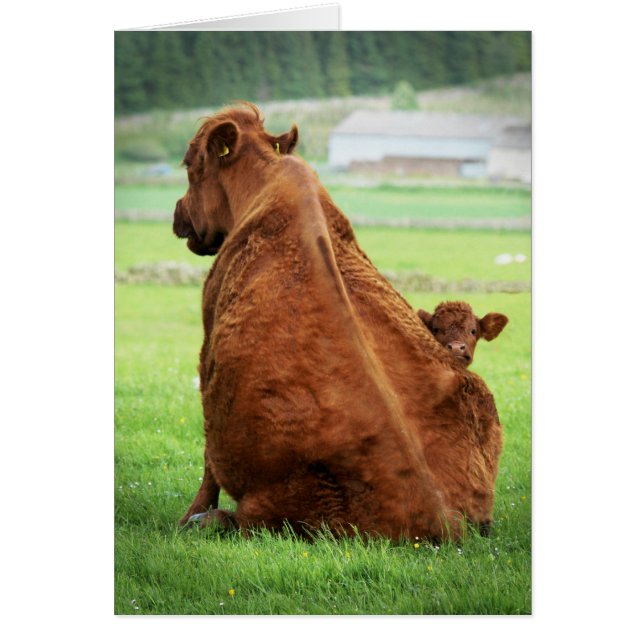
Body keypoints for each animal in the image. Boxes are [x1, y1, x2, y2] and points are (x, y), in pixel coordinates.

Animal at [172, 102, 503, 541]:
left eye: (191, 165)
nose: (178, 212)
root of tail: (442, 518)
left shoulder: (208, 342)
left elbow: (208, 460)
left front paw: (187, 514)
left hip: (277, 505)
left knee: (241, 519)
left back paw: (204, 520)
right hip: (479, 398)